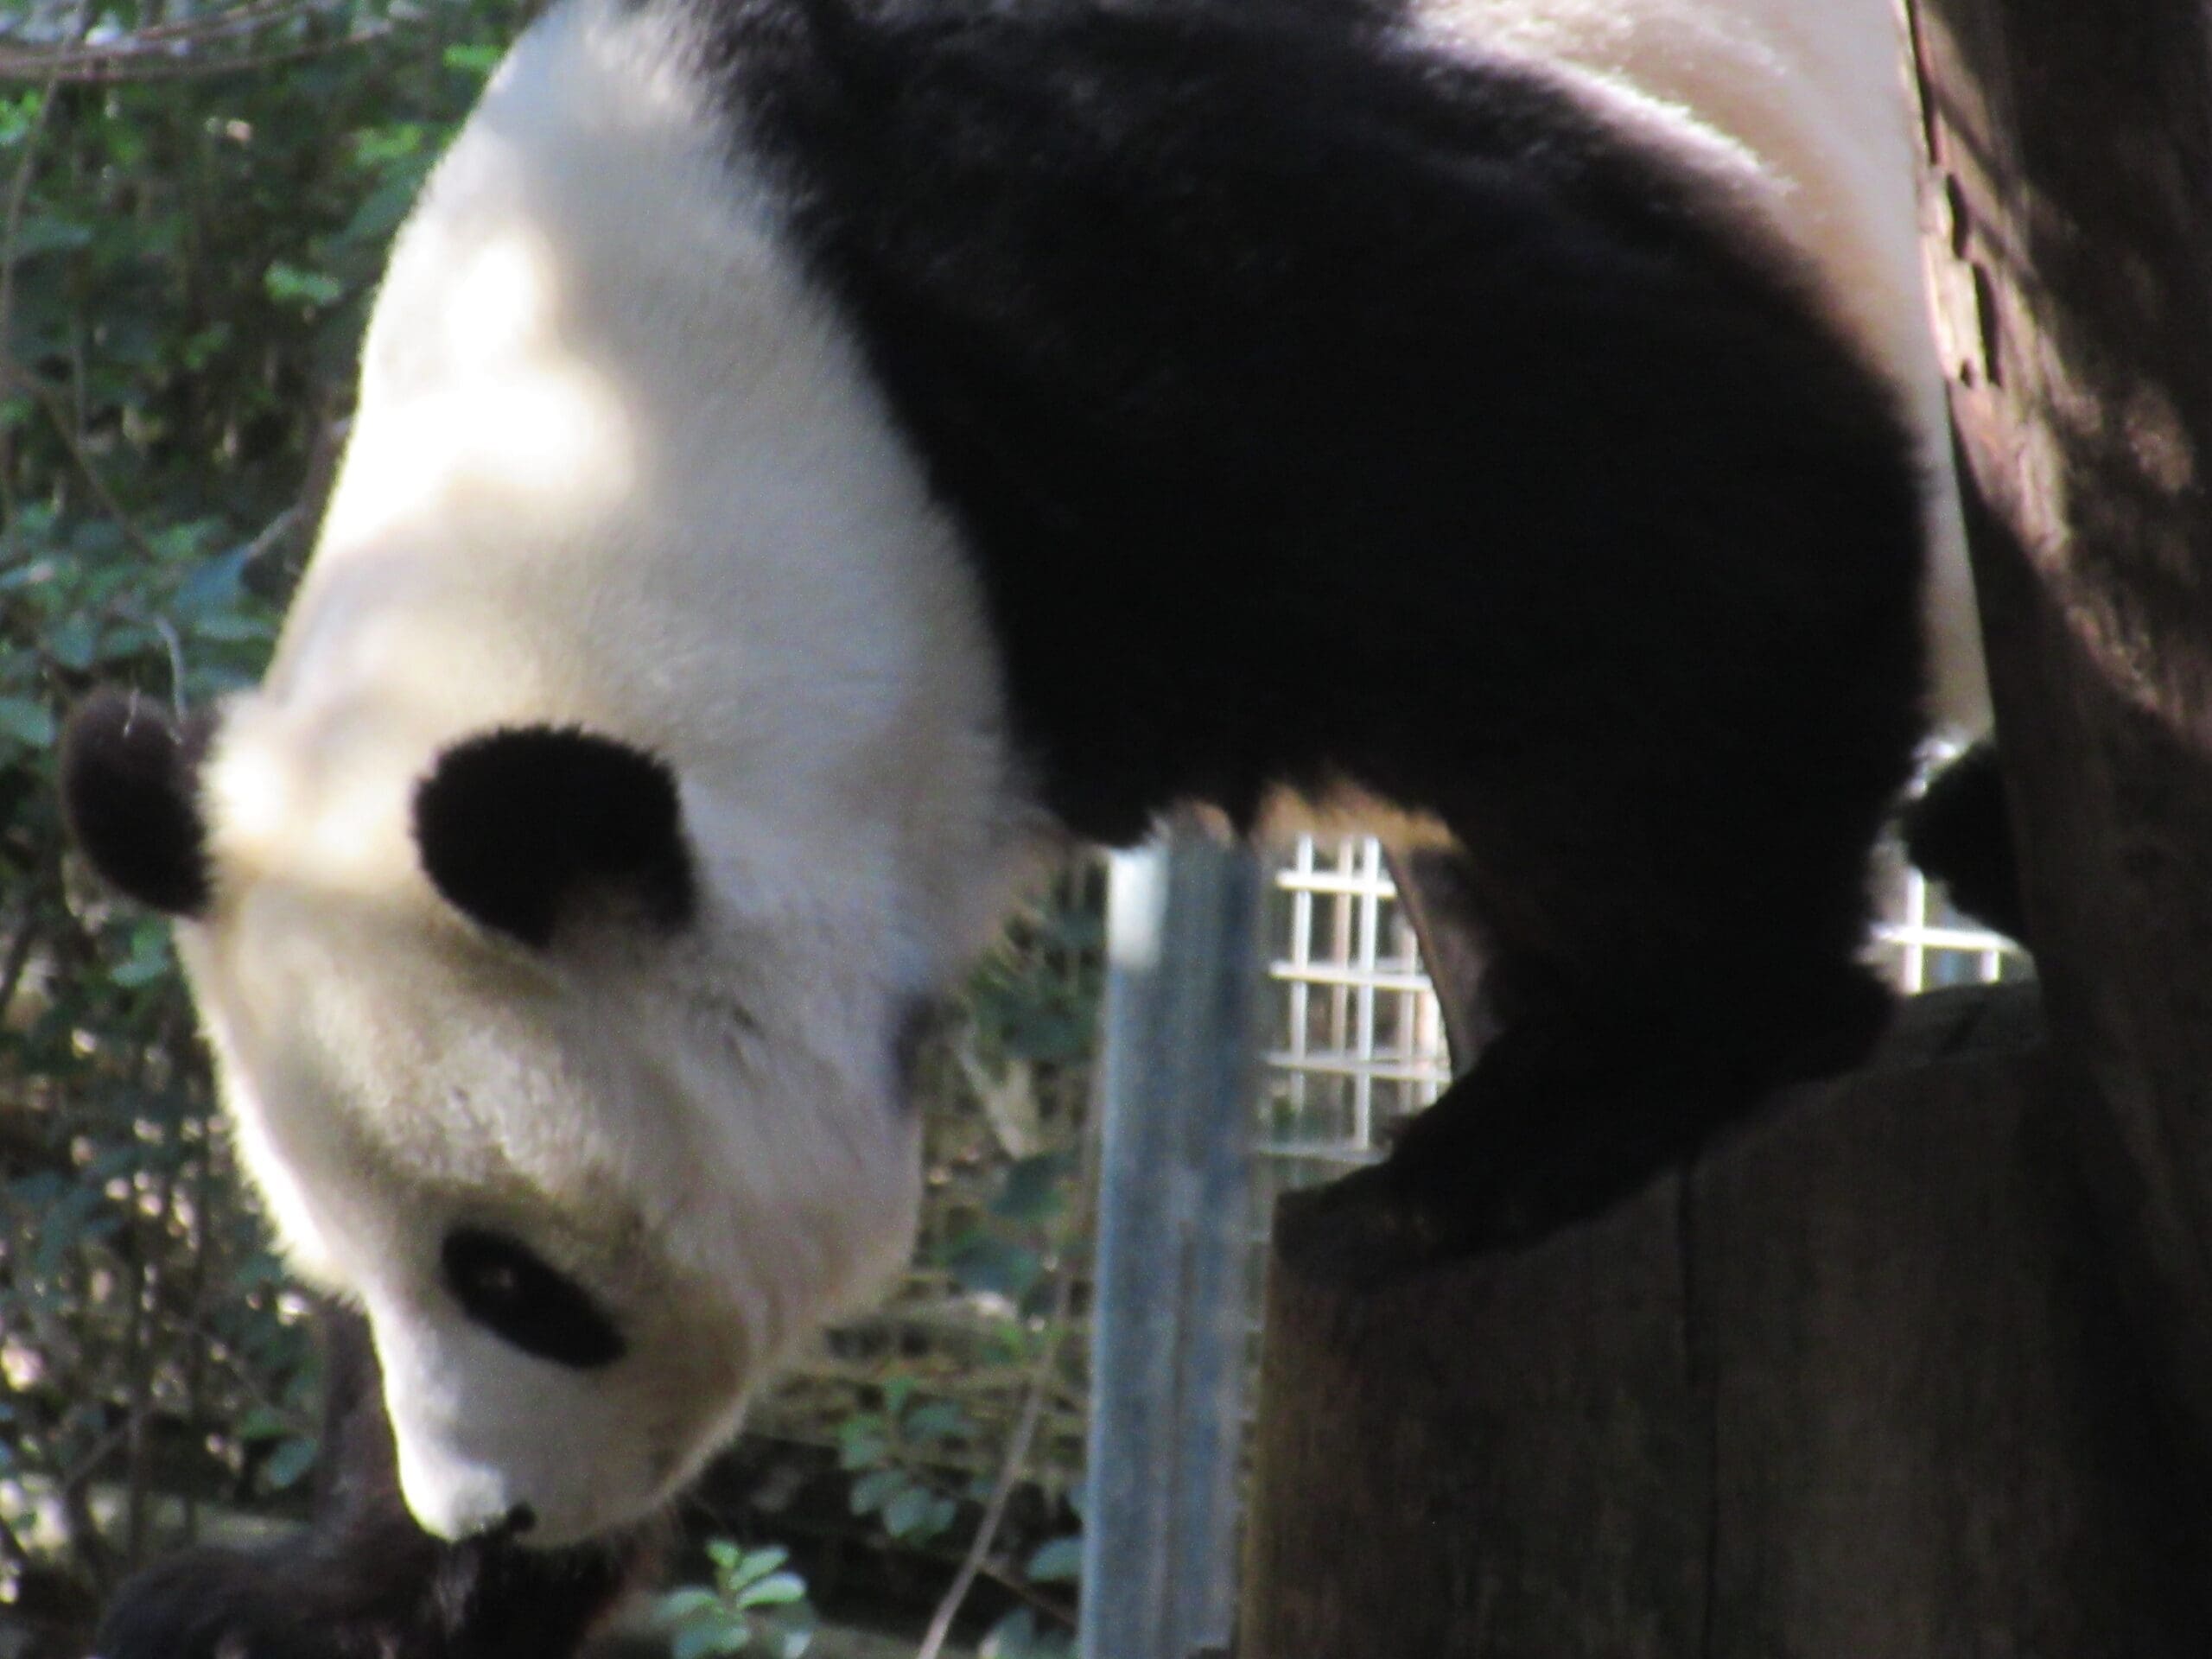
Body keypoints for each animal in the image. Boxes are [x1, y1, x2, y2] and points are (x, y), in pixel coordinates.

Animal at [62, 0, 1991, 1650]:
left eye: (520, 1281)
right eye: (352, 1273)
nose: (489, 1511)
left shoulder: (1158, 285)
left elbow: (1681, 518)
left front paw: (1594, 1089)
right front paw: (312, 1602)